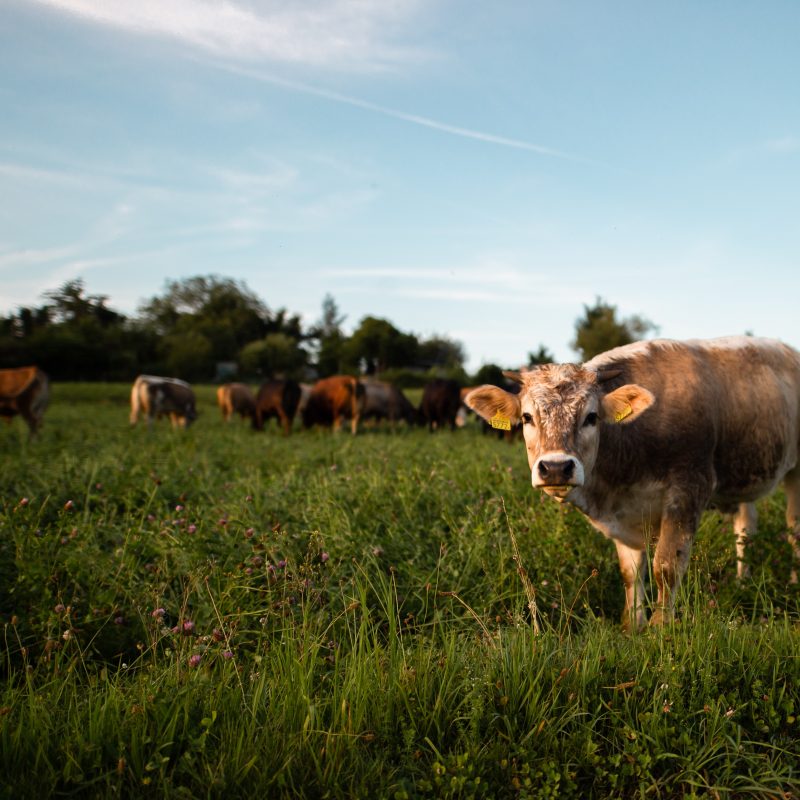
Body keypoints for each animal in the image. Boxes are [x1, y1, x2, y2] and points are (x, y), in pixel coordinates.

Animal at [466, 338, 800, 632]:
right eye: (527, 417)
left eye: (591, 417)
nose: (557, 467)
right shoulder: (623, 514)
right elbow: (630, 572)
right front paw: (633, 624)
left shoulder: (689, 487)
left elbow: (666, 565)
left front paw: (660, 627)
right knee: (745, 528)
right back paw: (743, 581)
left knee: (794, 528)